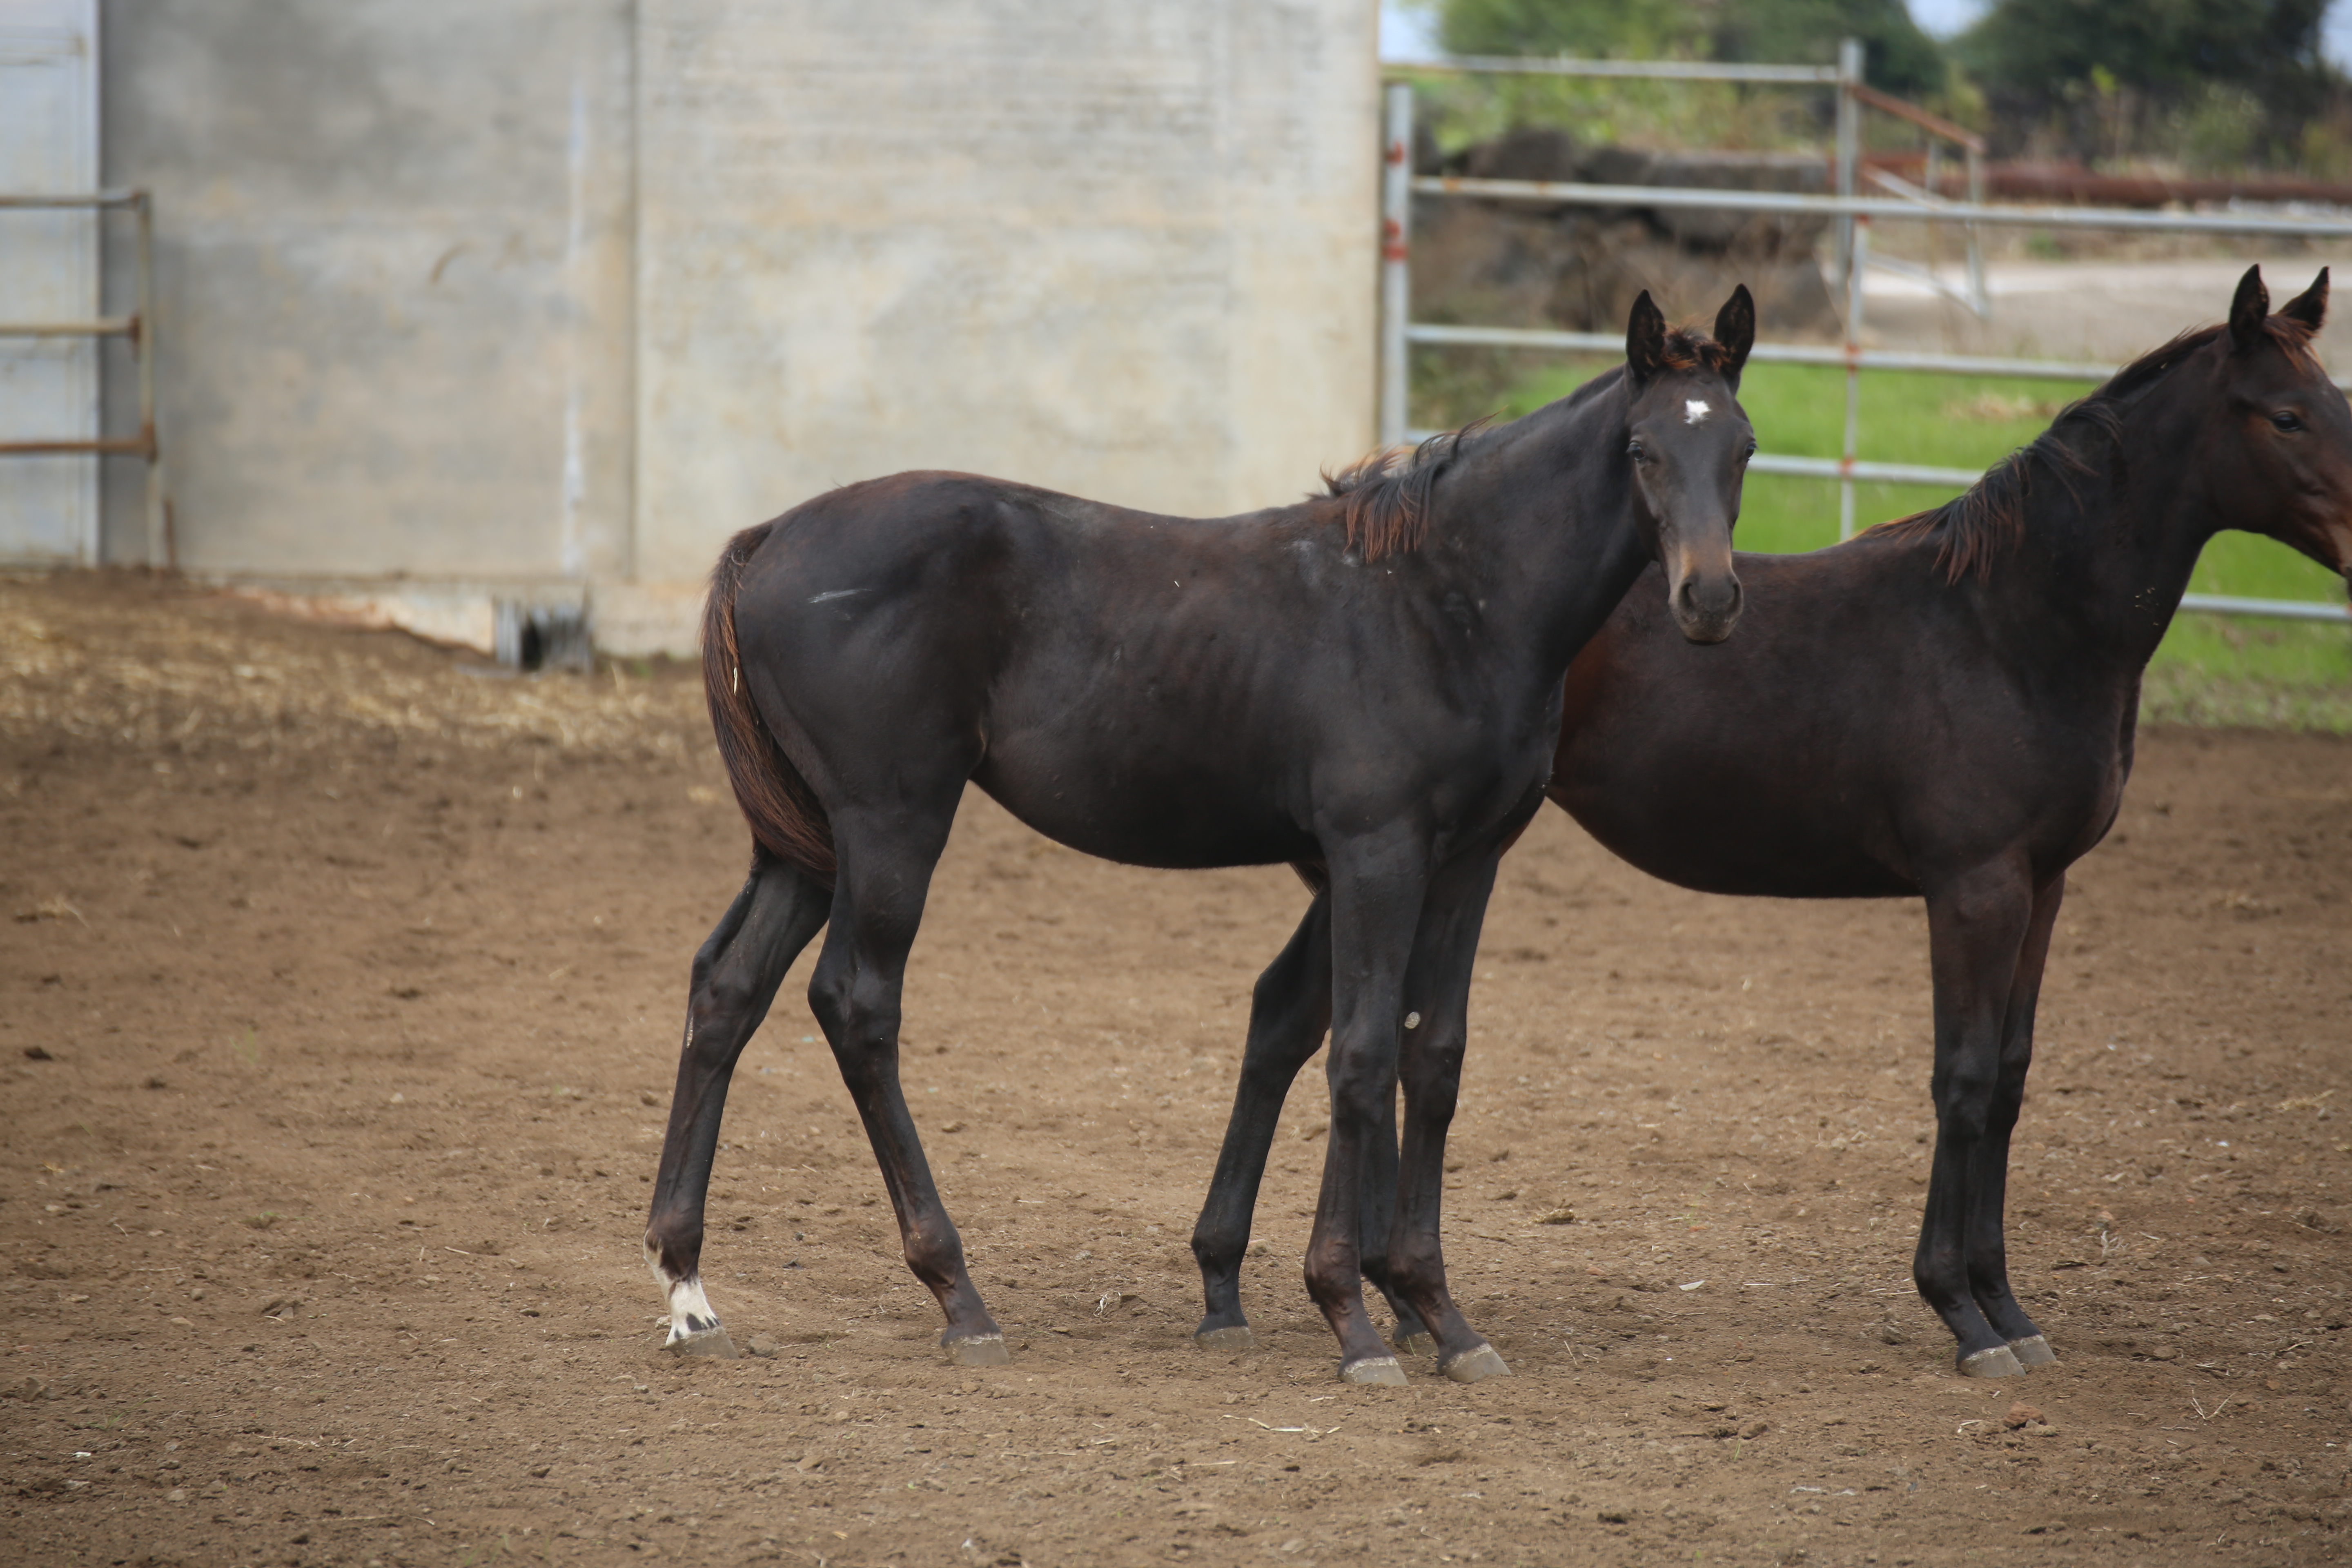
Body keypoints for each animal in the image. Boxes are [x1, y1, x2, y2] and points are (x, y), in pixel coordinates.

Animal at [654, 291, 1759, 1382]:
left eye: (1742, 448)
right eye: (1640, 449)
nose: (1708, 600)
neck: (1444, 601)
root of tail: (769, 536)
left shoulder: (1468, 863)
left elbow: (1432, 1060)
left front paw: (1443, 1317)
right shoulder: (1377, 851)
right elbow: (1361, 1053)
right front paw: (1353, 1318)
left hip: (808, 844)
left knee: (727, 987)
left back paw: (687, 1286)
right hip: (892, 823)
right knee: (857, 1004)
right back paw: (957, 1295)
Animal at [1185, 267, 2352, 1373]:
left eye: (2334, 401)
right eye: (2287, 416)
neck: (2010, 624)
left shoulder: (2044, 881)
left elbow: (2012, 1078)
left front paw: (2010, 1308)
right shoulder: (1972, 885)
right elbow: (1964, 1079)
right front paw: (1962, 1312)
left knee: (1297, 1018)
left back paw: (1298, 1292)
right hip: (1383, 859)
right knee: (1323, 1025)